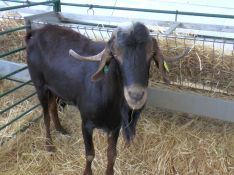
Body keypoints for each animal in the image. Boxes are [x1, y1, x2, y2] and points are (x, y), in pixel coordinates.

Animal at [25, 22, 186, 174]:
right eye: (115, 55)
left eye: (151, 54)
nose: (136, 95)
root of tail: (36, 32)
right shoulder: (86, 124)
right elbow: (90, 154)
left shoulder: (115, 126)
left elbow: (112, 154)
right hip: (39, 85)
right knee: (46, 115)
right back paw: (49, 146)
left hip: (54, 88)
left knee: (53, 106)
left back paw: (61, 129)